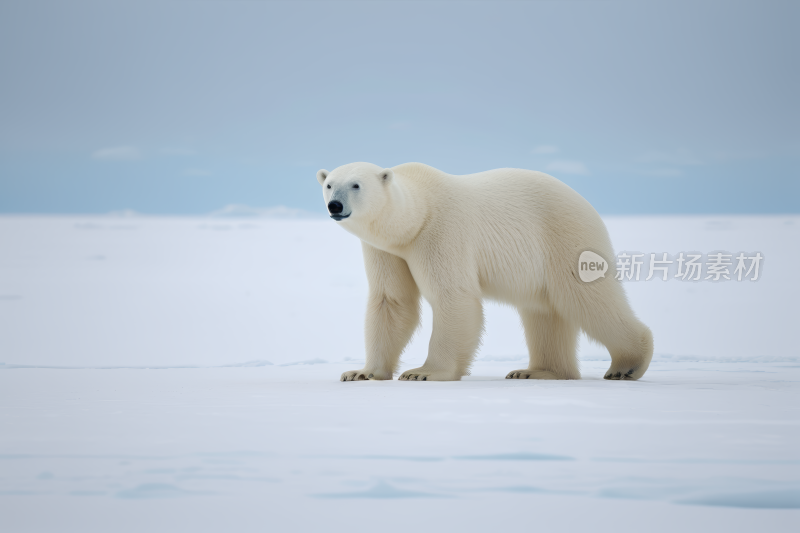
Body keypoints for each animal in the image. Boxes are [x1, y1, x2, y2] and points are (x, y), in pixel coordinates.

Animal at [316, 162, 652, 382]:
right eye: (329, 184)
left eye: (356, 184)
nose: (335, 205)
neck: (416, 216)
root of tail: (586, 203)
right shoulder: (386, 250)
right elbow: (392, 300)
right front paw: (361, 372)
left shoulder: (442, 231)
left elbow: (453, 296)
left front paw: (423, 372)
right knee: (543, 312)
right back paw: (536, 371)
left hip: (564, 237)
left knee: (586, 299)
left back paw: (627, 365)